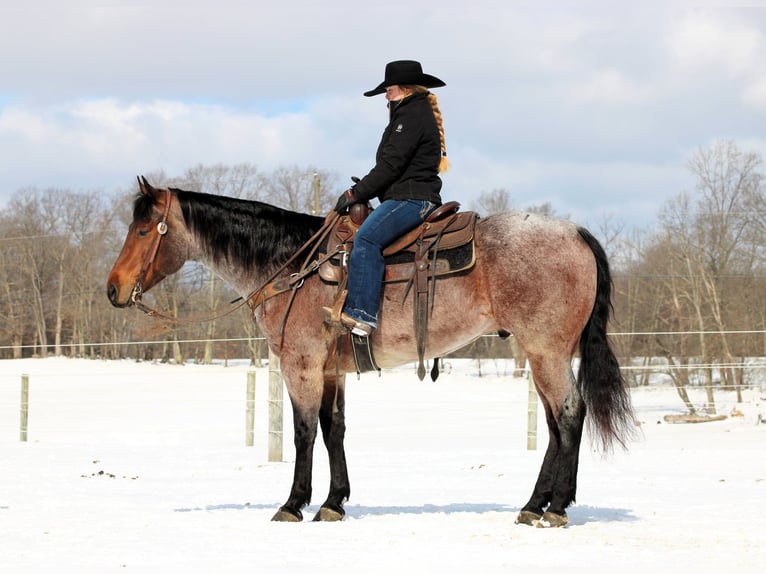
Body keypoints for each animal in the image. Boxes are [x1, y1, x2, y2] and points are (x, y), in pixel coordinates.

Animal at [108, 178, 636, 528]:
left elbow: (303, 433)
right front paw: (333, 502)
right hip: (543, 353)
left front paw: (293, 503)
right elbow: (333, 430)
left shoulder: (300, 365)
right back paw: (533, 504)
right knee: (554, 423)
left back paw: (556, 507)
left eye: (142, 231)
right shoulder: (330, 371)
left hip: (546, 351)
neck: (293, 266)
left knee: (569, 414)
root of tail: (576, 233)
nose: (113, 290)